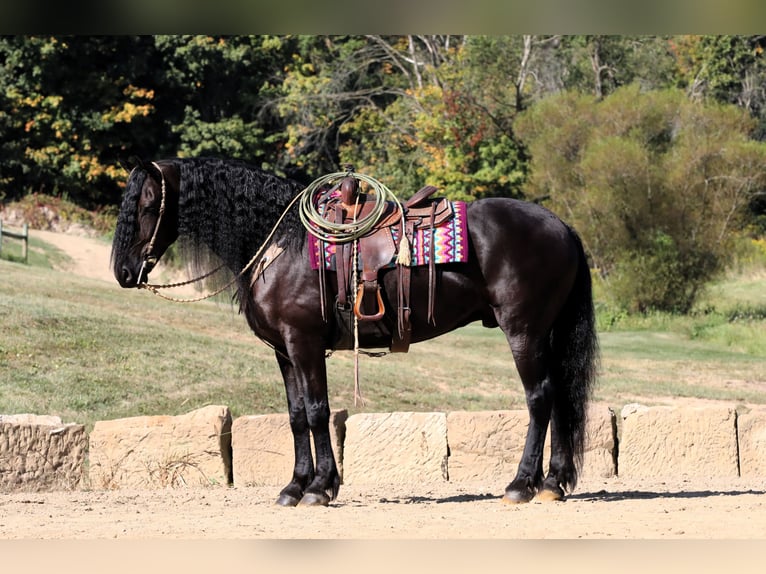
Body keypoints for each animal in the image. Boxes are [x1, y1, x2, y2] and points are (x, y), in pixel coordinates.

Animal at [112, 158, 600, 508]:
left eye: (148, 205)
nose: (122, 272)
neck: (281, 243)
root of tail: (563, 227)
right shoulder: (283, 351)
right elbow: (295, 416)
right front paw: (294, 486)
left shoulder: (304, 343)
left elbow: (316, 411)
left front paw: (319, 488)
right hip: (546, 333)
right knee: (559, 397)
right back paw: (553, 483)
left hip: (524, 331)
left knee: (539, 398)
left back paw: (521, 484)